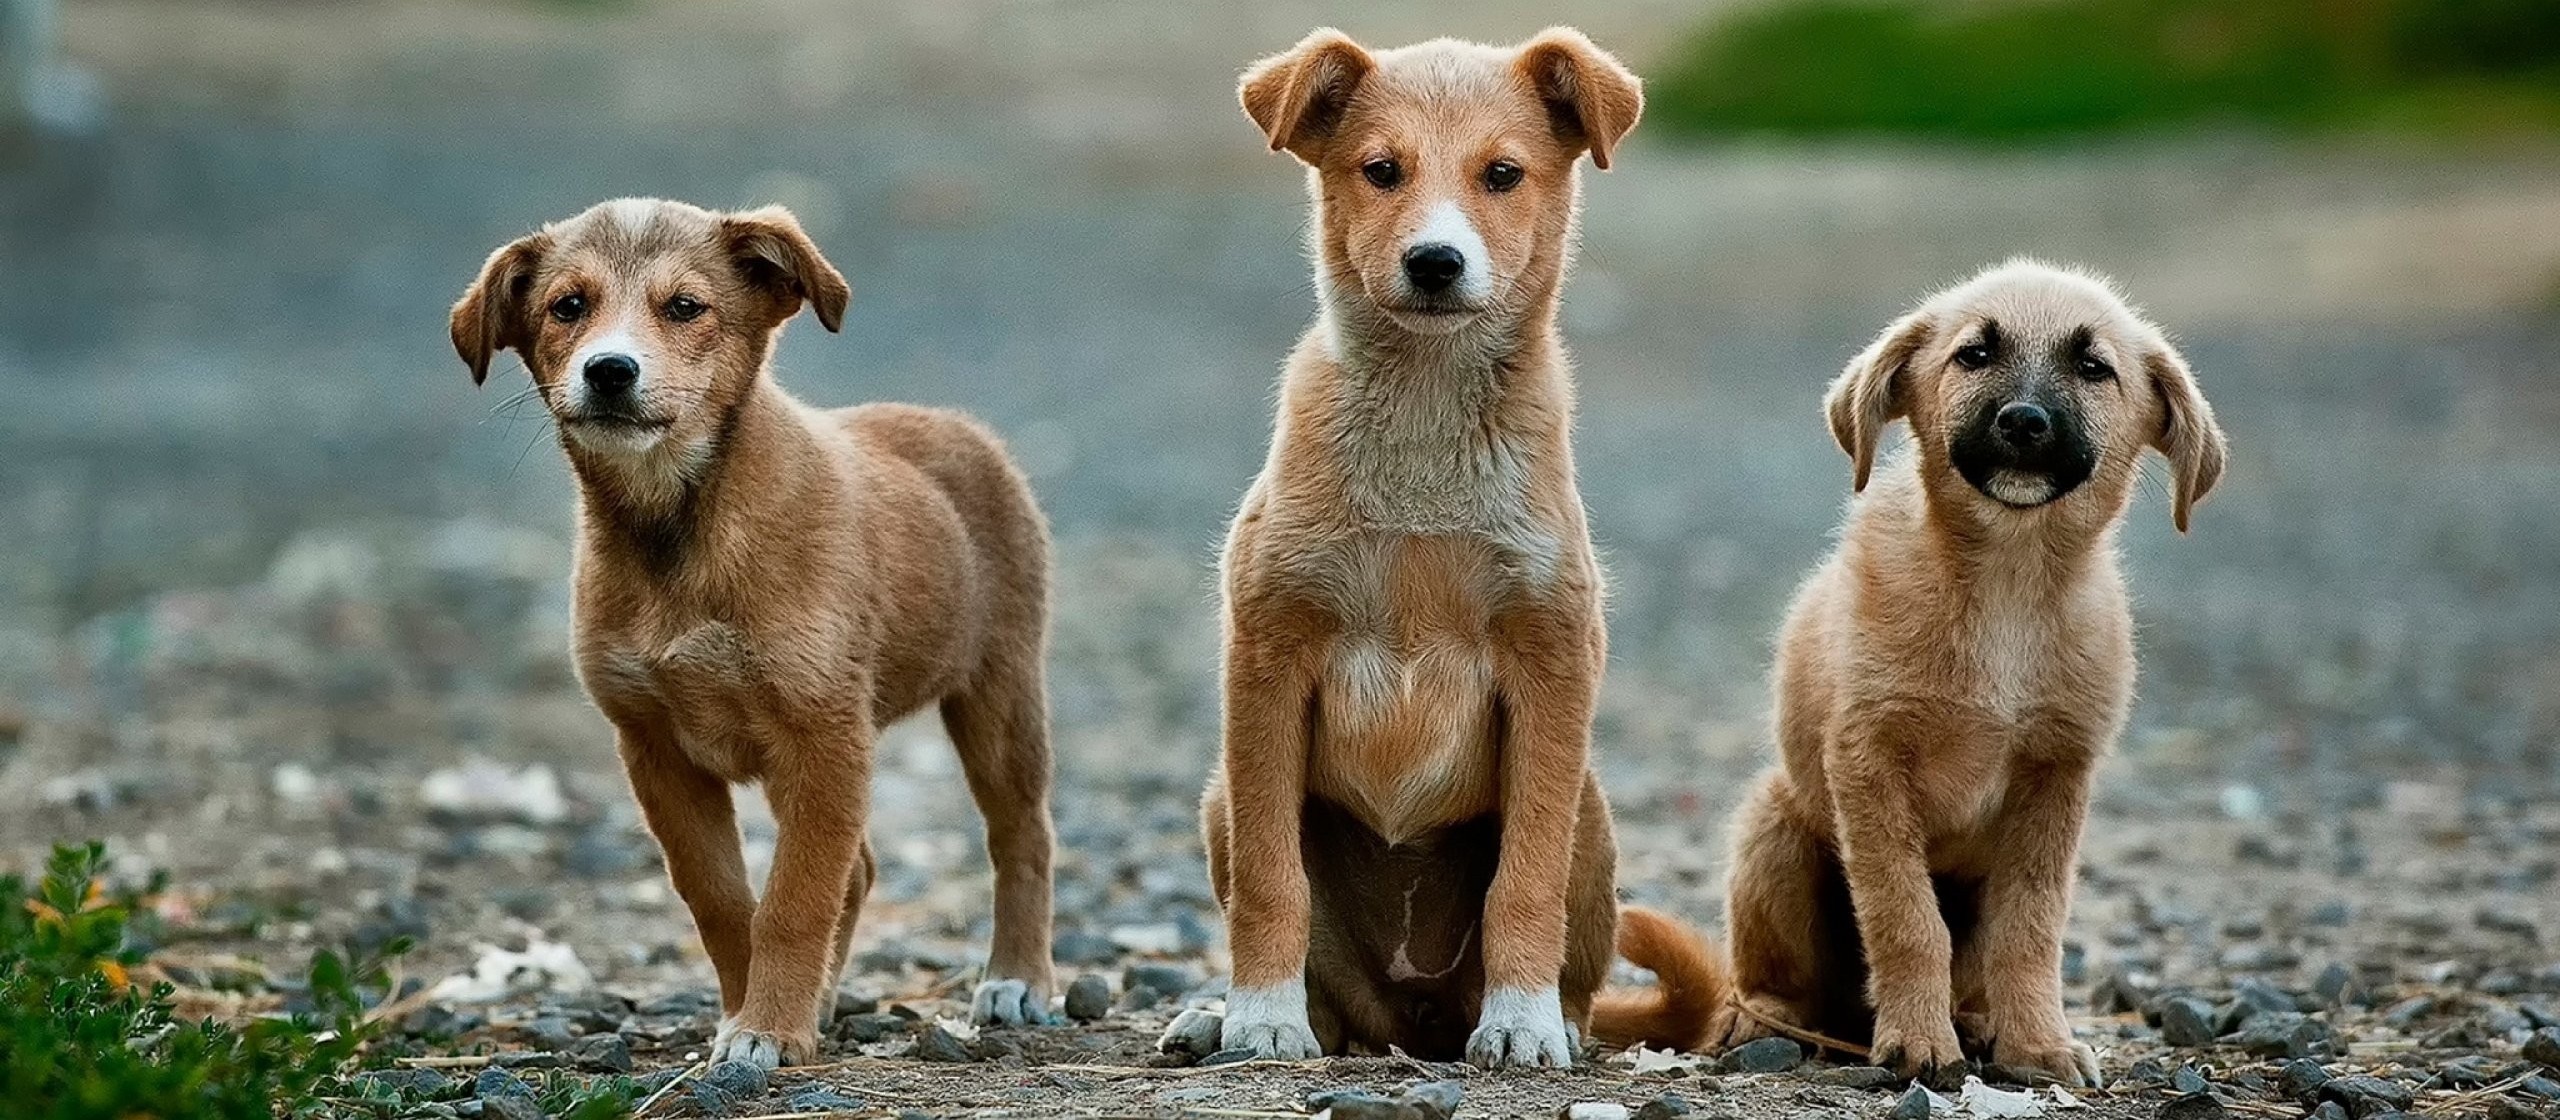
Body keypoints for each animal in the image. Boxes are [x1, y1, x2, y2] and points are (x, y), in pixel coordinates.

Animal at [453, 199, 1059, 1068]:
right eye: (568, 306)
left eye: (685, 307)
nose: (610, 371)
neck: (678, 532)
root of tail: (954, 424)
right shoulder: (656, 748)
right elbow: (723, 900)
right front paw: (754, 1013)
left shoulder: (823, 735)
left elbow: (794, 900)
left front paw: (768, 1027)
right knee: (860, 869)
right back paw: (828, 998)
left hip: (999, 694)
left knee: (1021, 836)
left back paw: (1017, 979)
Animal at [1192, 21, 1638, 1063]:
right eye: (1381, 170)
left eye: (1503, 174)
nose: (1436, 262)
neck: (1426, 431)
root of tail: (1412, 1020)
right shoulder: (1267, 655)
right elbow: (1272, 882)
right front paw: (1260, 1017)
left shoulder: (1553, 660)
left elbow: (1525, 879)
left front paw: (1521, 1024)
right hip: (1219, 797)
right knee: (1325, 982)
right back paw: (1221, 1017)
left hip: (1593, 812)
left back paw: (1547, 1018)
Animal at [1597, 260, 2222, 1084]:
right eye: (1974, 355)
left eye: (2094, 368)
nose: (2024, 422)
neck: (2006, 584)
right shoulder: (1869, 761)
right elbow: (1905, 917)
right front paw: (1921, 1042)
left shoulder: (2056, 777)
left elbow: (2030, 928)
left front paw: (2037, 1044)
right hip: (1775, 829)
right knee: (1771, 980)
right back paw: (1768, 1021)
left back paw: (1979, 1023)